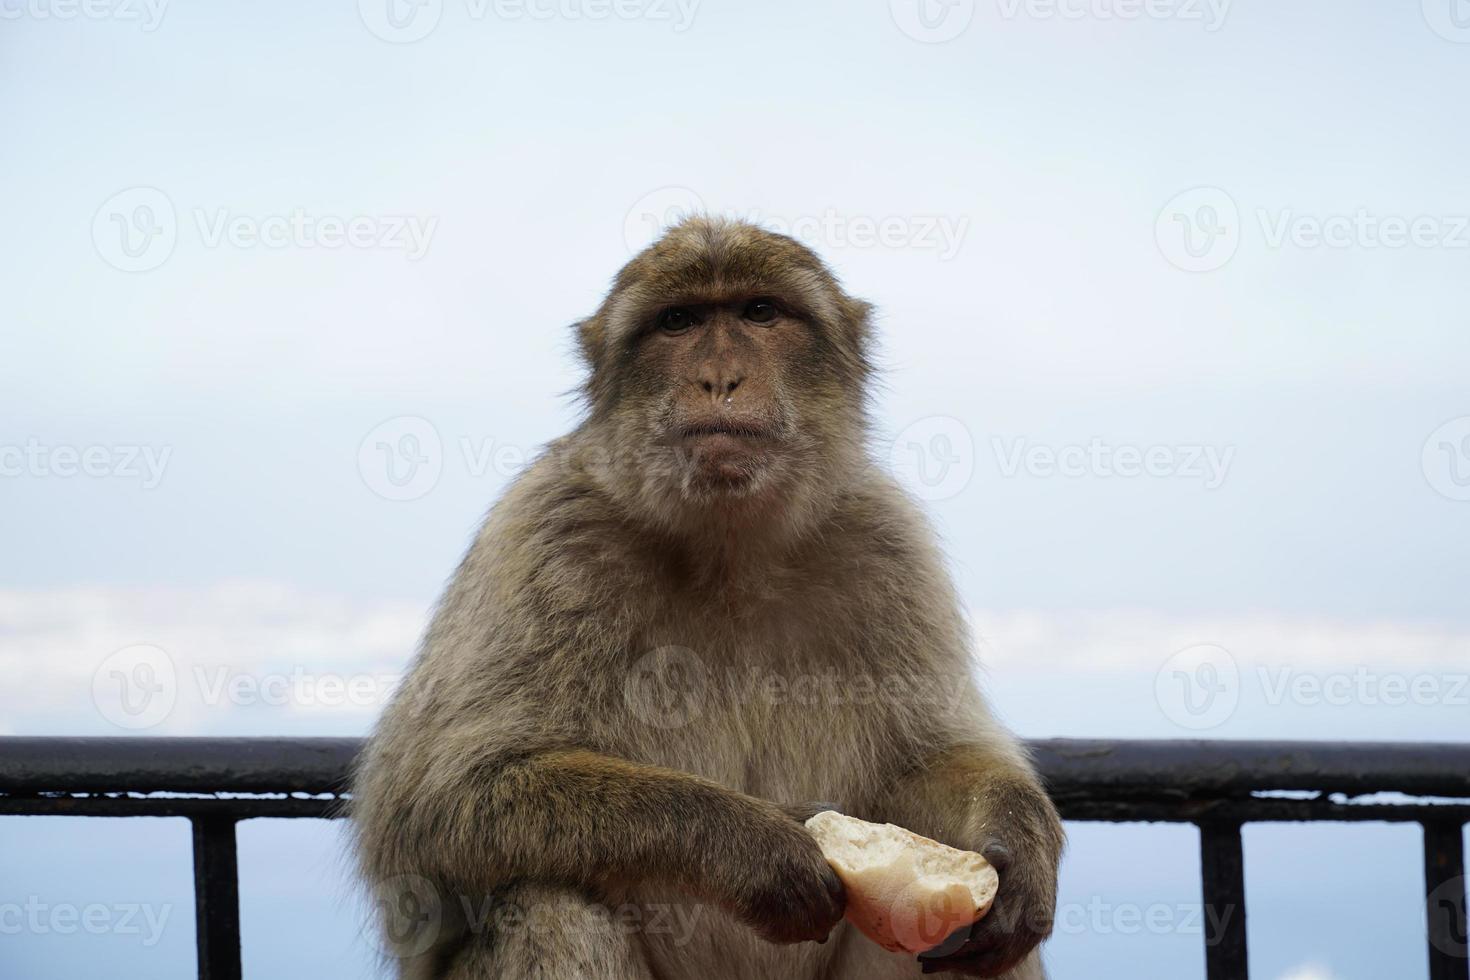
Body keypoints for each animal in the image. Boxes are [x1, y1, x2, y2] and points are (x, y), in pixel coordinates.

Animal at [355, 218, 1070, 975]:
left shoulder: (891, 547)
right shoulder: (541, 534)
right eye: (679, 321)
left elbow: (925, 762)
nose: (719, 379)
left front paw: (1022, 841)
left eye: (760, 312)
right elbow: (433, 805)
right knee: (548, 902)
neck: (730, 552)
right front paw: (753, 846)